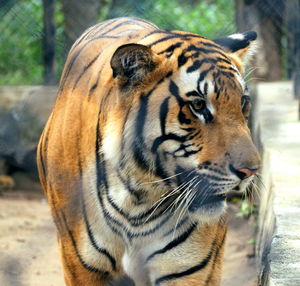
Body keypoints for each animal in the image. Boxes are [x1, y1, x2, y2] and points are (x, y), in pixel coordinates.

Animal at [37, 16, 260, 284]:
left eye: (244, 103)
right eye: (198, 105)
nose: (251, 171)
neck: (137, 200)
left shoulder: (188, 269)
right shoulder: (80, 267)